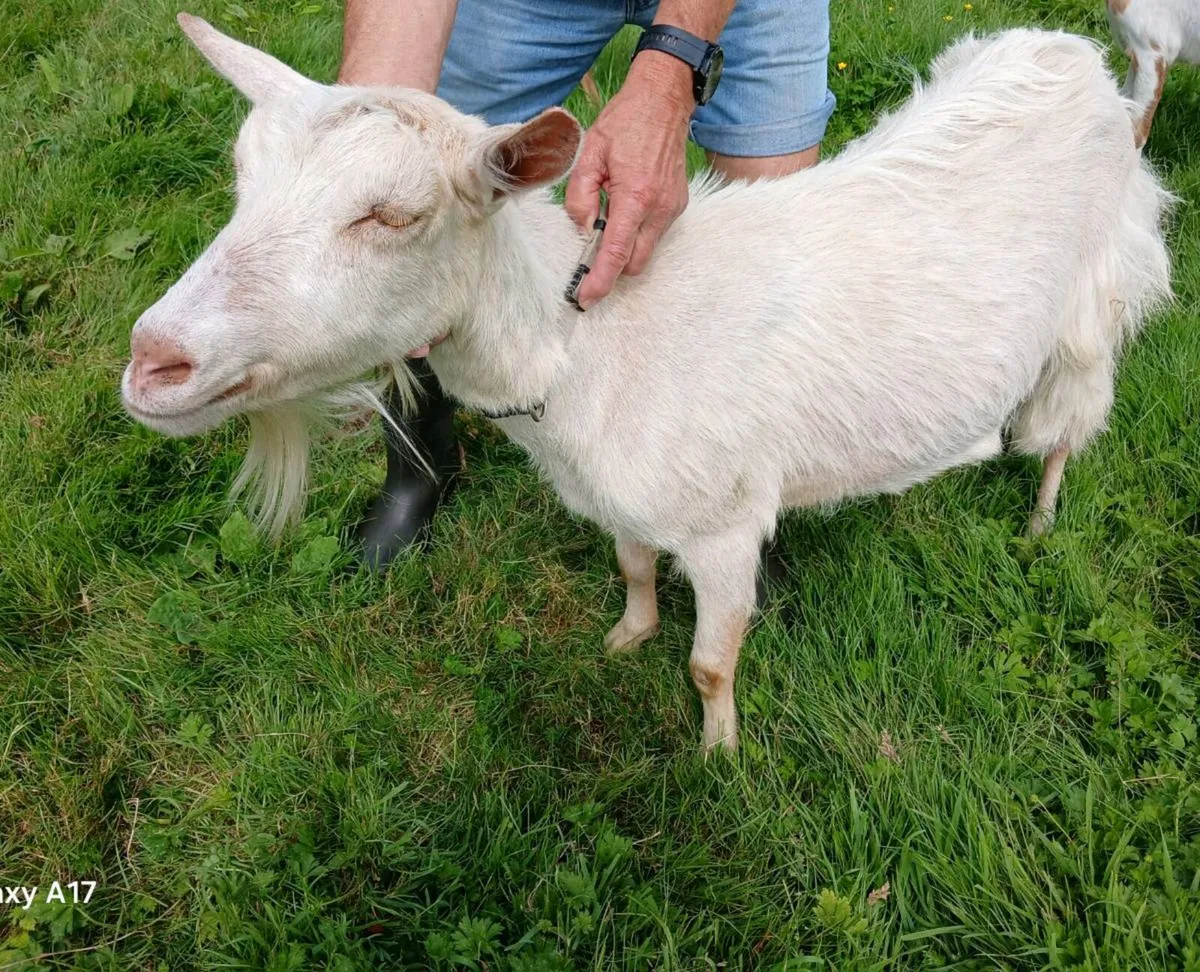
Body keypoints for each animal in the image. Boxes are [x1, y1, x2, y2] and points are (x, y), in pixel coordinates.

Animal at [123, 16, 1171, 752]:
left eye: (393, 214)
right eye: (242, 177)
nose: (153, 362)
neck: (589, 342)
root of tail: (1068, 50)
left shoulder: (724, 528)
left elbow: (711, 664)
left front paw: (719, 753)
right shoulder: (620, 497)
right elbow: (630, 565)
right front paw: (626, 637)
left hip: (1097, 299)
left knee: (1069, 428)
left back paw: (1039, 523)